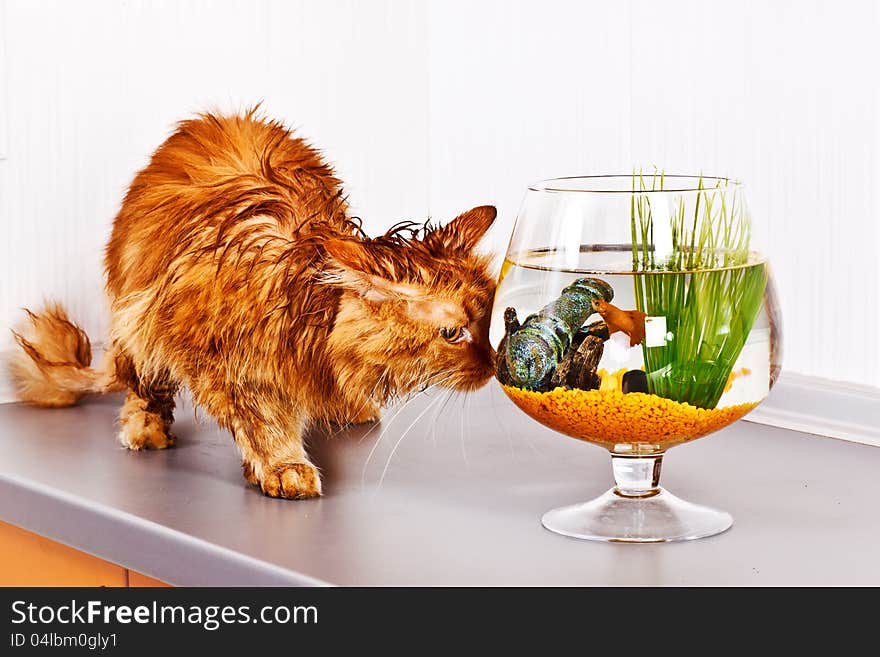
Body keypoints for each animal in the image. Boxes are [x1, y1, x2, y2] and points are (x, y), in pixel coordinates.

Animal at [10, 109, 498, 498]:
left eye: (488, 321)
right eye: (453, 333)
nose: (494, 363)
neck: (305, 313)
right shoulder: (215, 357)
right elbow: (262, 419)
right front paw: (283, 465)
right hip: (136, 320)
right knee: (144, 384)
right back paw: (145, 429)